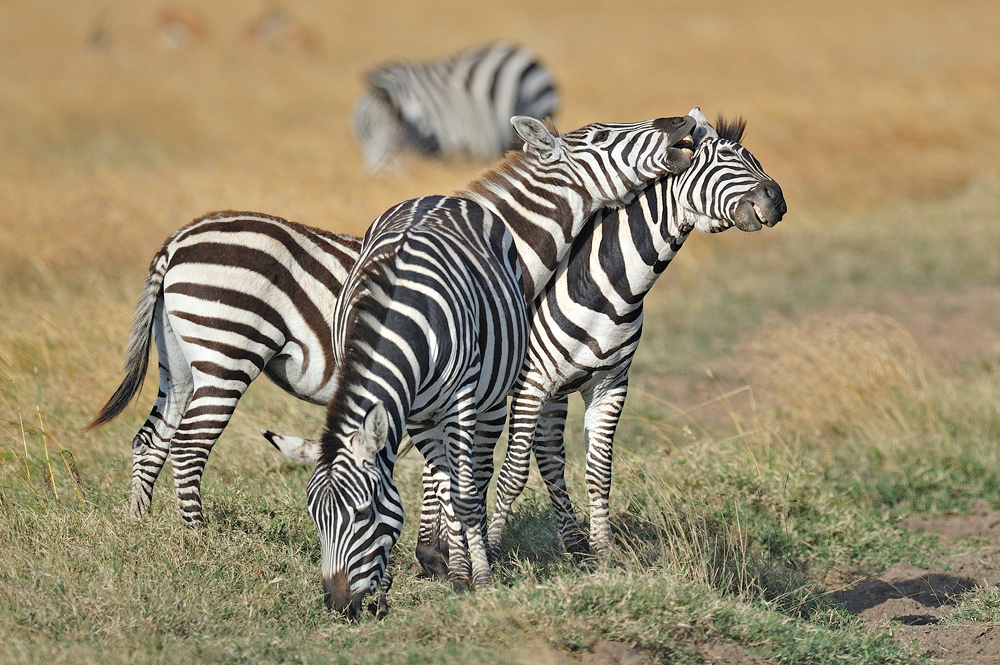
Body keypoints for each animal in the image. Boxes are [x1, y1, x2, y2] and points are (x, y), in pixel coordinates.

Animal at [85, 213, 360, 524]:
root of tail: (175, 243)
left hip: (176, 365)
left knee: (150, 439)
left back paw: (139, 521)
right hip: (227, 356)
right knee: (188, 444)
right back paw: (196, 531)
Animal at [304, 111, 696, 616]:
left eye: (363, 514)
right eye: (603, 136)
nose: (681, 121)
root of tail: (432, 196)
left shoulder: (493, 390)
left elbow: (476, 475)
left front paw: (458, 561)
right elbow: (459, 472)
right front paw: (440, 559)